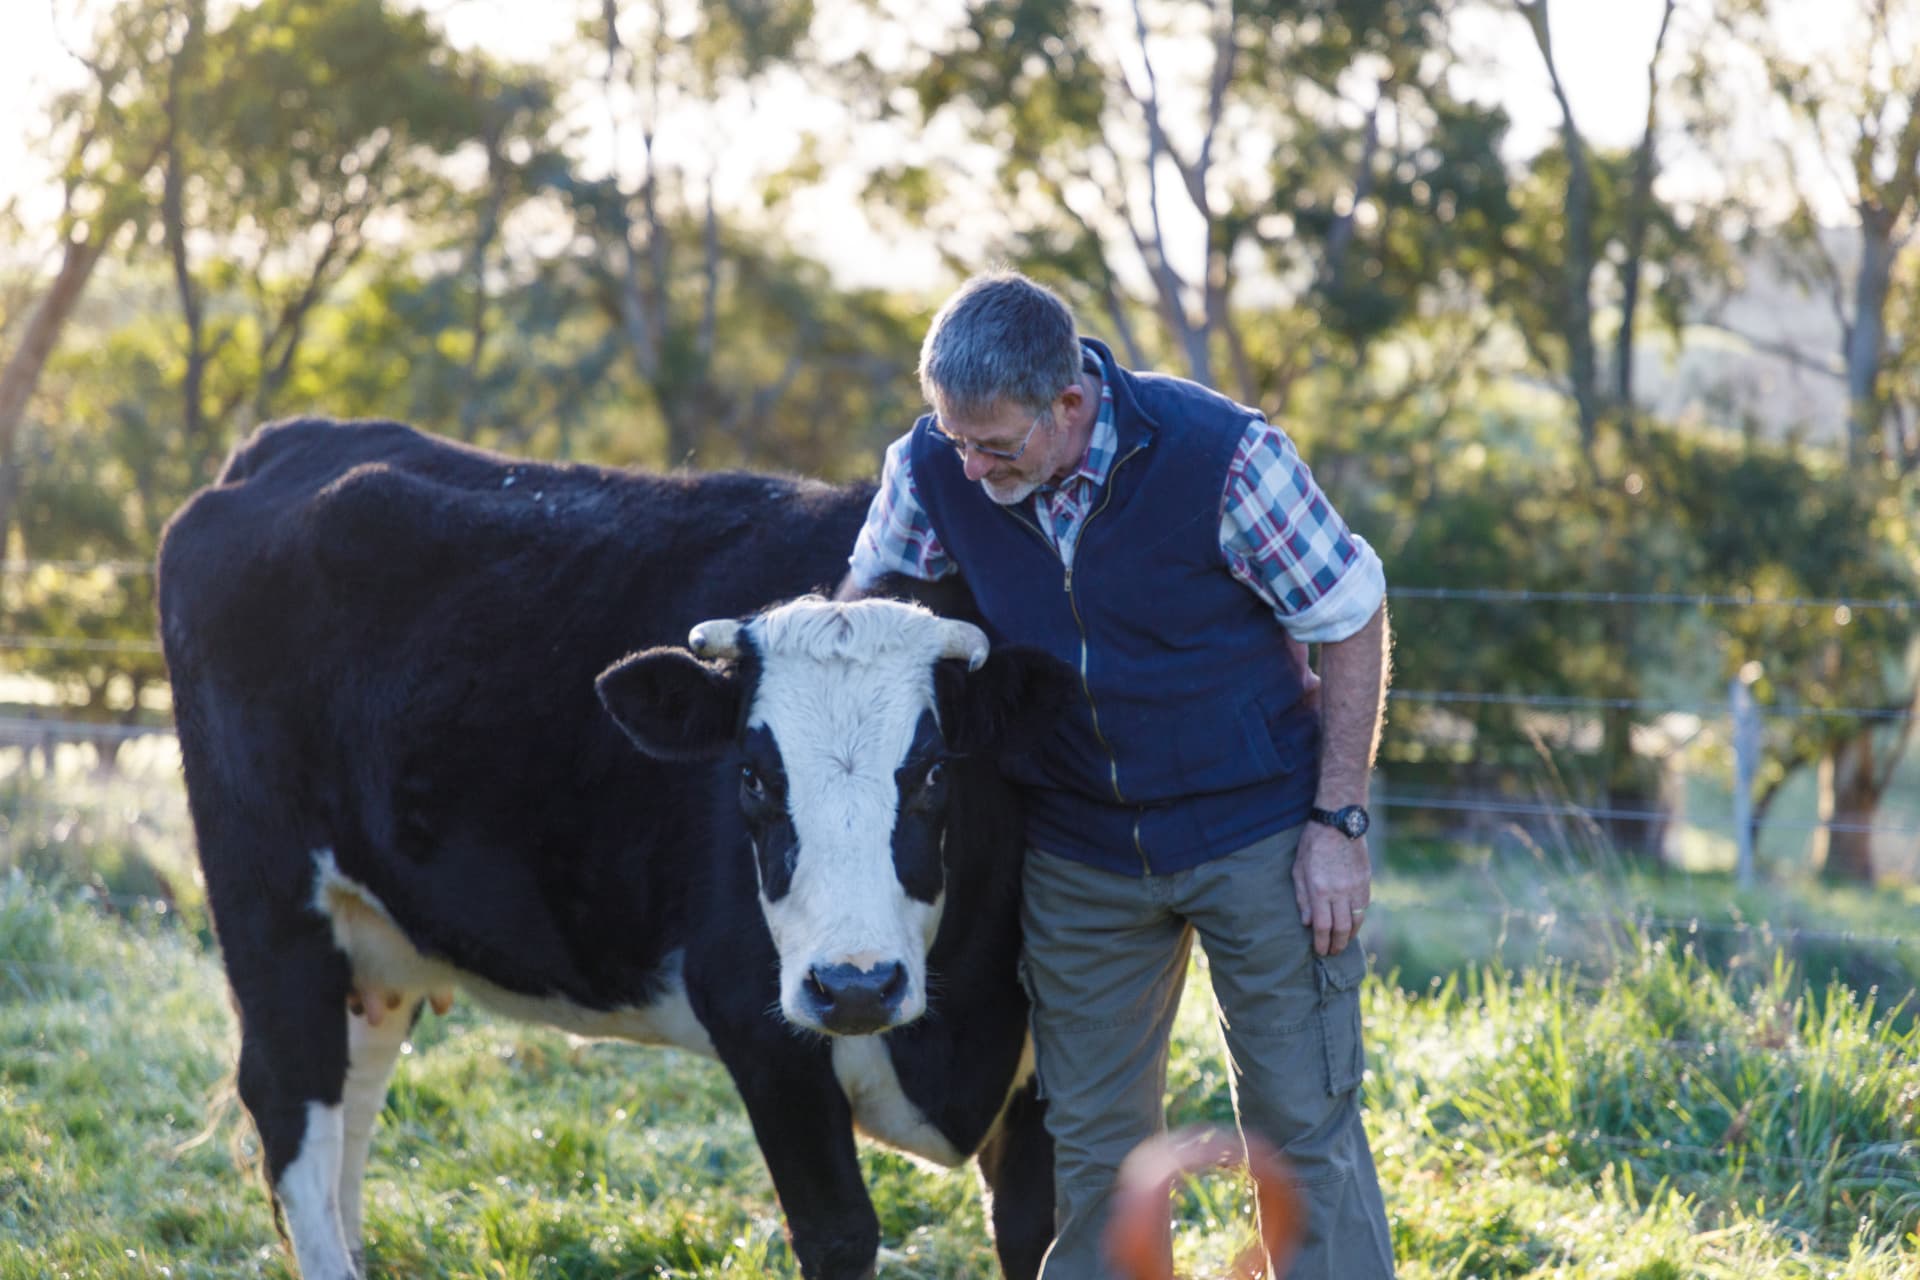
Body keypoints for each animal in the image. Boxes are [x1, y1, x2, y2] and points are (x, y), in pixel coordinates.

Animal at [155, 417, 1070, 1280]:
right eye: (752, 778)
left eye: (935, 772)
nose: (855, 986)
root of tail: (292, 440)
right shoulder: (759, 1026)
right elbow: (840, 1234)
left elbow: (1035, 1232)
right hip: (270, 906)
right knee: (294, 1102)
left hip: (376, 935)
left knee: (356, 1085)